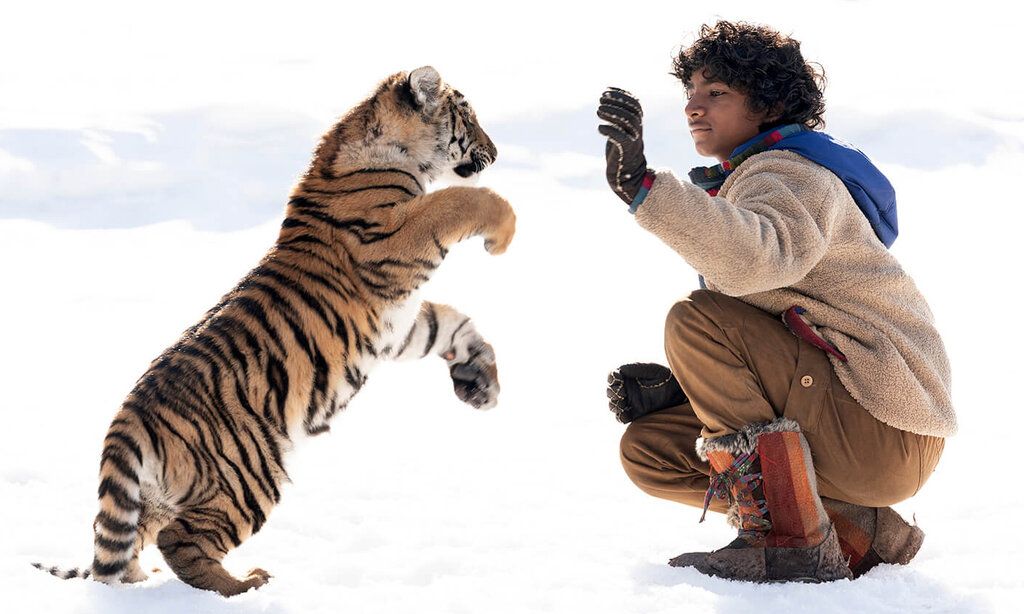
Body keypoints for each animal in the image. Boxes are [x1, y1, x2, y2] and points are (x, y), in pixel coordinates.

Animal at [35, 66, 516, 593]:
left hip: (163, 494)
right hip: (248, 474)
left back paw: (143, 584)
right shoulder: (392, 238)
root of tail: (127, 419)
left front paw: (481, 384)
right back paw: (244, 585)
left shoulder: (399, 326)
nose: (496, 151)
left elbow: (451, 324)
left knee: (128, 546)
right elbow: (461, 200)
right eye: (467, 114)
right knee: (181, 541)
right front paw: (502, 234)